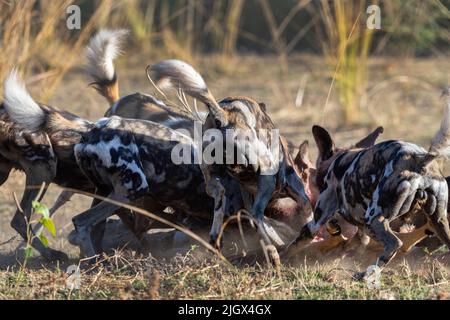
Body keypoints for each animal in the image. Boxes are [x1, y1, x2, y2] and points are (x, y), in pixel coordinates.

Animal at [286, 89, 450, 278]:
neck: (337, 161)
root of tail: (420, 159)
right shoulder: (361, 232)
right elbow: (348, 242)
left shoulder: (316, 222)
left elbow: (293, 244)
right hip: (438, 222)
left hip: (375, 220)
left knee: (395, 244)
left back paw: (366, 274)